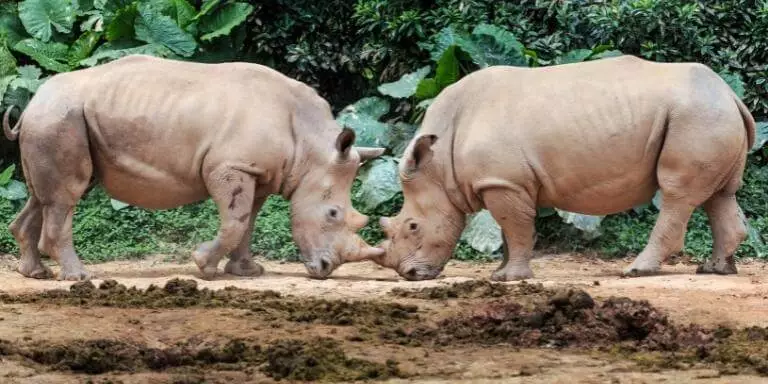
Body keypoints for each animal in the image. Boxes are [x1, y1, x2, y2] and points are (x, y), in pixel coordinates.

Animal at [0, 54, 384, 280]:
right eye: (333, 213)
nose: (325, 270)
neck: (311, 145)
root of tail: (32, 101)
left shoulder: (258, 173)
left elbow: (247, 222)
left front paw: (247, 271)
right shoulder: (229, 166)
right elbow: (235, 222)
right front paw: (203, 266)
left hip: (55, 118)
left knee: (43, 196)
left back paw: (35, 274)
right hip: (59, 117)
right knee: (65, 196)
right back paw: (78, 278)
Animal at [376, 54, 756, 280]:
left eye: (412, 227)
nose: (408, 275)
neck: (439, 165)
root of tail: (731, 95)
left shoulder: (503, 182)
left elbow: (515, 228)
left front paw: (511, 279)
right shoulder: (507, 181)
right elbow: (508, 231)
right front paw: (500, 275)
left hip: (695, 116)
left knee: (677, 194)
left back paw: (636, 271)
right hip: (709, 115)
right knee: (719, 195)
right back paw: (715, 270)